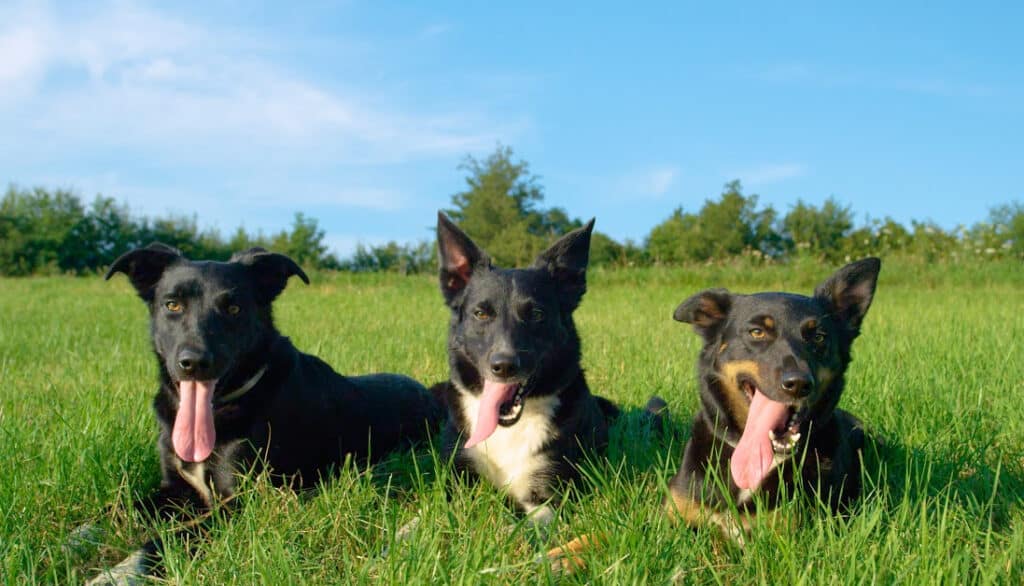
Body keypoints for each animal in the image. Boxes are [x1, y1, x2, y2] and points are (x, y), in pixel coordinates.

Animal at [95, 242, 444, 581]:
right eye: (173, 305)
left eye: (234, 309)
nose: (193, 362)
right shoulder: (173, 489)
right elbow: (113, 509)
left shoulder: (240, 505)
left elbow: (164, 540)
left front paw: (117, 572)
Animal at [430, 213, 614, 524]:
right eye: (481, 313)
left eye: (537, 314)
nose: (504, 366)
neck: (506, 429)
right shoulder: (456, 478)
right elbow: (429, 516)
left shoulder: (547, 494)